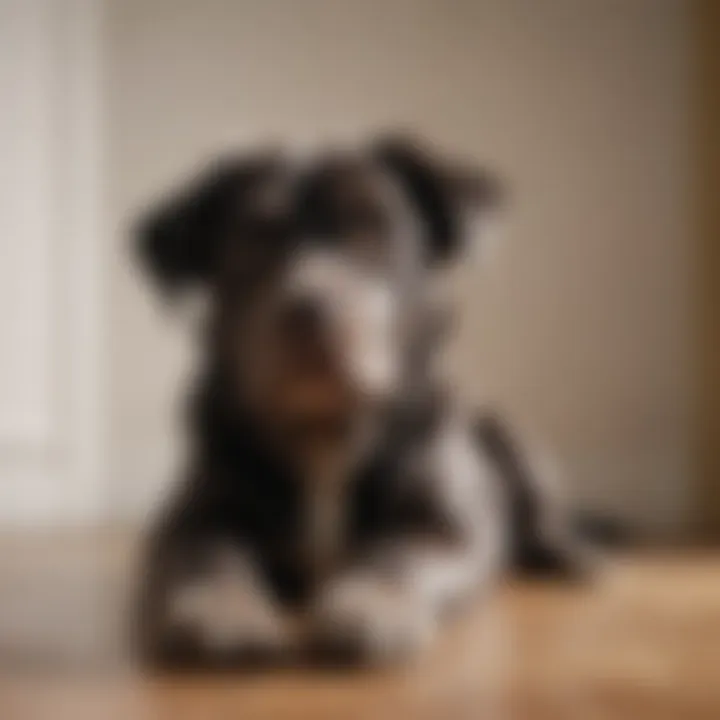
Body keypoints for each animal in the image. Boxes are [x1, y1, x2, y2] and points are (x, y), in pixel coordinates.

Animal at [131, 135, 596, 668]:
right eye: (252, 241)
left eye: (373, 233)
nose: (308, 311)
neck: (325, 430)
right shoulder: (195, 520)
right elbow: (211, 561)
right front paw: (223, 614)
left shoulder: (445, 526)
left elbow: (393, 558)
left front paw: (371, 608)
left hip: (513, 437)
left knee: (544, 517)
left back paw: (570, 556)